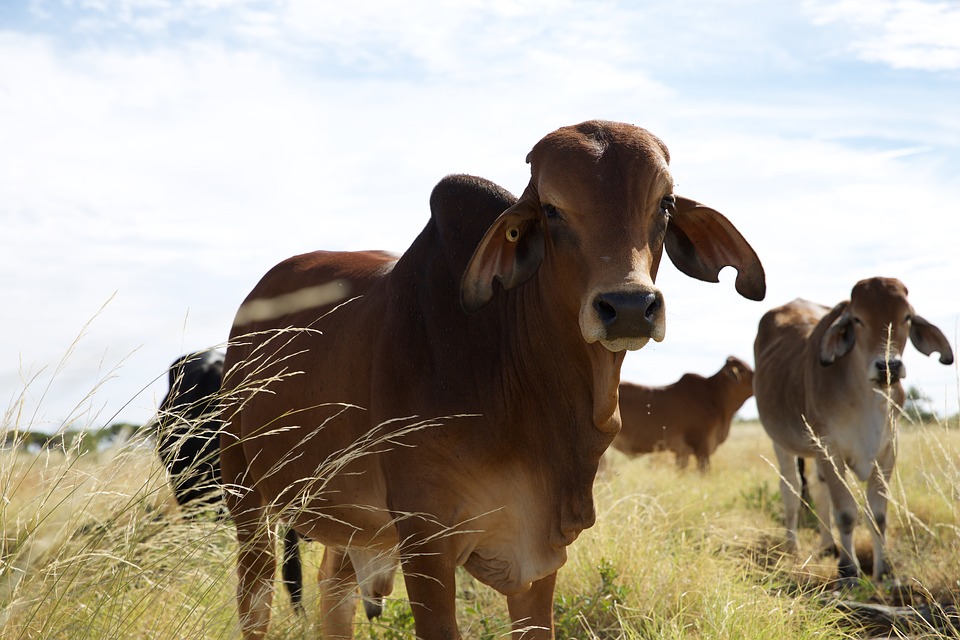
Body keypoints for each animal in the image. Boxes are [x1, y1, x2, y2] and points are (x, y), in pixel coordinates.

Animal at [756, 276, 952, 584]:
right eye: (858, 319)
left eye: (906, 317)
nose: (888, 366)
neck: (866, 398)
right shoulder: (830, 448)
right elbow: (846, 512)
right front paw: (848, 570)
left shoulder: (887, 452)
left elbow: (878, 515)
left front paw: (884, 571)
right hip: (782, 444)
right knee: (791, 490)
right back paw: (792, 546)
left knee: (819, 489)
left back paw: (828, 545)